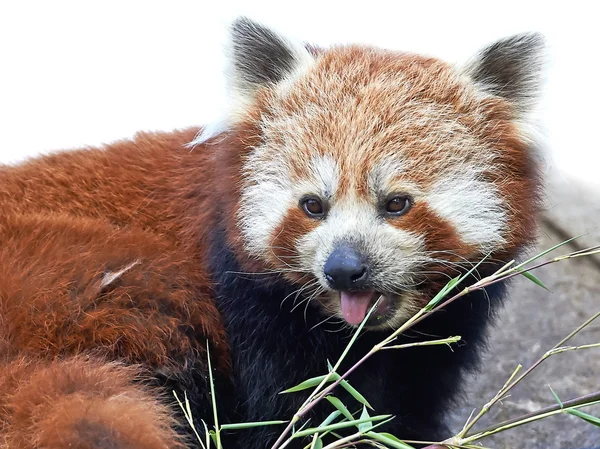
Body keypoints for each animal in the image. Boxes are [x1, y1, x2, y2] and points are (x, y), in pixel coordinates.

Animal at [0, 16, 540, 448]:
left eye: (397, 204)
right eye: (313, 205)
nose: (344, 269)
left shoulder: (437, 339)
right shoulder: (256, 320)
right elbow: (280, 418)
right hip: (81, 270)